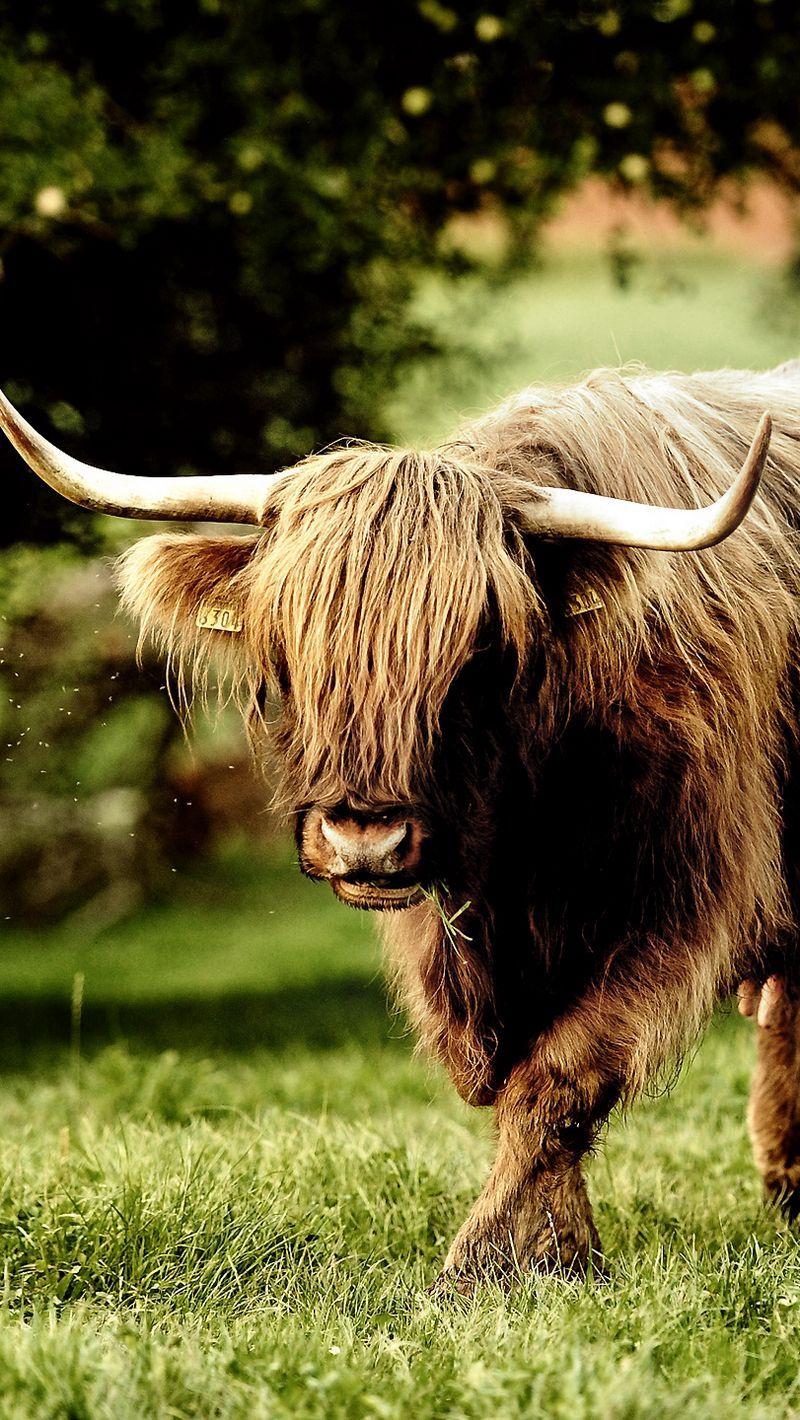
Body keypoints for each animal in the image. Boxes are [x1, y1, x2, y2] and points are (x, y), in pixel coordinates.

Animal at [4, 362, 799, 1292]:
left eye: (479, 655)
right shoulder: (447, 933)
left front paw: (483, 1267)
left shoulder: (681, 901)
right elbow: (502, 1082)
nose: (365, 841)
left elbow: (559, 1080)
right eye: (287, 651)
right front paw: (564, 1255)